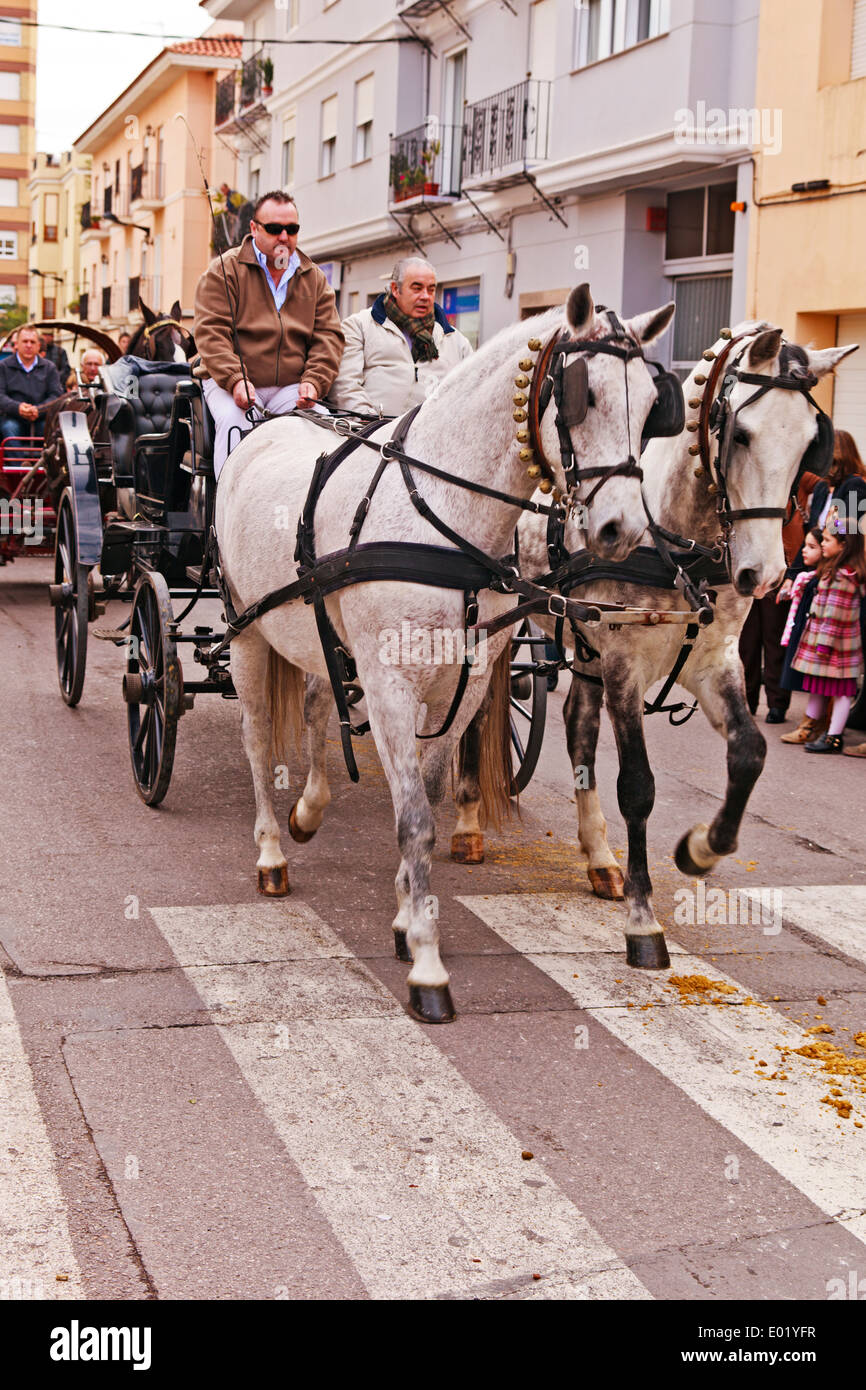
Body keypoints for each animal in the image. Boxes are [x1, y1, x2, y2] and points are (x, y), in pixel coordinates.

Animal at [215, 284, 678, 1023]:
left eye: (656, 405)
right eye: (585, 395)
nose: (622, 531)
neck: (442, 516)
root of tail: (265, 425)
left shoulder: (466, 681)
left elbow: (428, 800)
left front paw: (409, 917)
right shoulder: (391, 686)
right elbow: (412, 820)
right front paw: (428, 966)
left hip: (314, 633)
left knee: (317, 704)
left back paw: (309, 810)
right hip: (247, 633)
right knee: (259, 741)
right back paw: (270, 854)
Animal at [450, 322, 856, 967]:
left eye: (808, 446)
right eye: (742, 434)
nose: (766, 575)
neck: (678, 546)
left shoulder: (714, 662)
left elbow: (749, 753)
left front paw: (702, 848)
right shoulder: (624, 663)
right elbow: (637, 788)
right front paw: (643, 923)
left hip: (581, 642)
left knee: (577, 725)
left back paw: (599, 856)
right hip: (504, 625)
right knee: (477, 711)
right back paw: (467, 823)